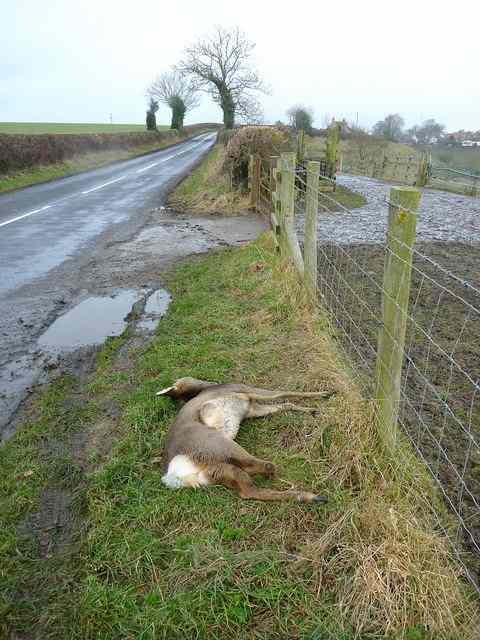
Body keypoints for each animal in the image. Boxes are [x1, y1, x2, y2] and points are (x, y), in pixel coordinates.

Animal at [156, 377, 335, 504]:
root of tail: (172, 475)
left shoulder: (252, 408)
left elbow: (285, 404)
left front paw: (313, 408)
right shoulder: (248, 392)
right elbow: (284, 393)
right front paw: (323, 395)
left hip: (218, 471)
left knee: (248, 491)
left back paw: (314, 498)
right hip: (224, 447)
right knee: (266, 466)